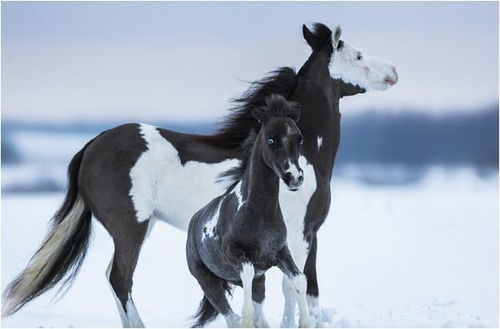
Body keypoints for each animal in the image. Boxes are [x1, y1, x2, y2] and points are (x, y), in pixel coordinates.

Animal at [187, 93, 308, 326]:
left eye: (299, 139)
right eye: (271, 140)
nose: (295, 177)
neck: (260, 213)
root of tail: (194, 222)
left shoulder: (280, 253)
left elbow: (299, 280)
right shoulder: (235, 255)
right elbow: (248, 284)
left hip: (257, 282)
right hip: (208, 282)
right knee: (231, 316)